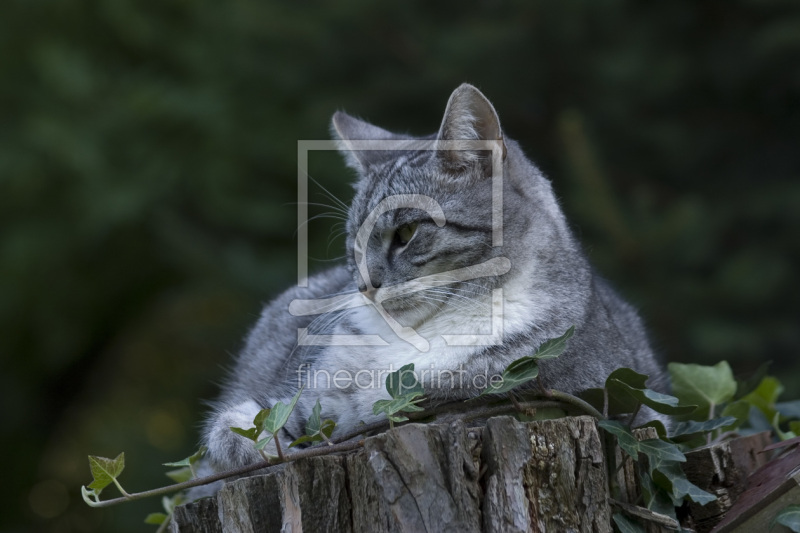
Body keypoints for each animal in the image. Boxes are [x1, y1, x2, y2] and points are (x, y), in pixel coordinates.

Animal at [202, 83, 668, 470]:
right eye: (355, 242)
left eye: (406, 233)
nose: (365, 286)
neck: (414, 337)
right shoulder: (305, 405)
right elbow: (243, 429)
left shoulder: (500, 401)